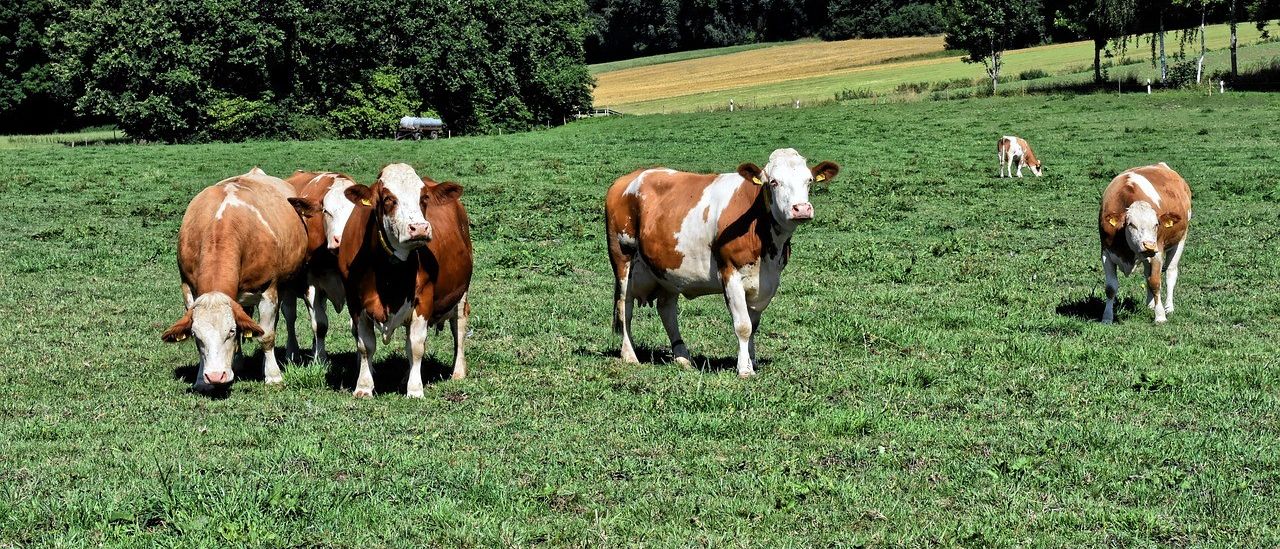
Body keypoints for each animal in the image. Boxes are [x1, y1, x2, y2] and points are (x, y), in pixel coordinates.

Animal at [161, 168, 321, 391]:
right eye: (195, 335)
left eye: (229, 331)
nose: (216, 376)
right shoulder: (188, 289)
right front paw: (201, 380)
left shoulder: (268, 290)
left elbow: (266, 335)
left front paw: (273, 376)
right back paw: (237, 361)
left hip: (288, 282)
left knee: (288, 317)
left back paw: (290, 354)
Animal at [284, 171, 361, 364]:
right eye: (326, 211)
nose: (340, 240)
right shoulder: (311, 285)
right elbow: (320, 325)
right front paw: (320, 360)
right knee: (290, 316)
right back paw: (292, 352)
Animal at [338, 163, 473, 398]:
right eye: (388, 198)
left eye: (424, 197)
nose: (419, 228)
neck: (388, 275)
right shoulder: (355, 302)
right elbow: (365, 346)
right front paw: (363, 386)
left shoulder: (423, 300)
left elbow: (416, 346)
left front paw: (415, 389)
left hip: (461, 293)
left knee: (459, 328)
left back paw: (457, 372)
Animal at [604, 148, 839, 378]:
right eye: (773, 182)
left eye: (809, 180)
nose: (802, 209)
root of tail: (627, 179)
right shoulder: (731, 273)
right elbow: (743, 325)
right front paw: (744, 370)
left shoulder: (767, 281)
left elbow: (753, 325)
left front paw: (751, 361)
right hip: (623, 259)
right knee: (625, 307)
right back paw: (629, 355)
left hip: (667, 269)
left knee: (666, 309)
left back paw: (683, 357)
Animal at [1099, 162, 1192, 324]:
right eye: (1131, 224)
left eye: (1156, 224)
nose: (1149, 245)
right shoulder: (1106, 253)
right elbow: (1110, 288)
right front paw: (1107, 318)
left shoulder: (1157, 253)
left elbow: (1155, 283)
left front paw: (1160, 316)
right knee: (1147, 275)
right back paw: (1150, 304)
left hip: (1180, 240)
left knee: (1170, 273)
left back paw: (1168, 307)